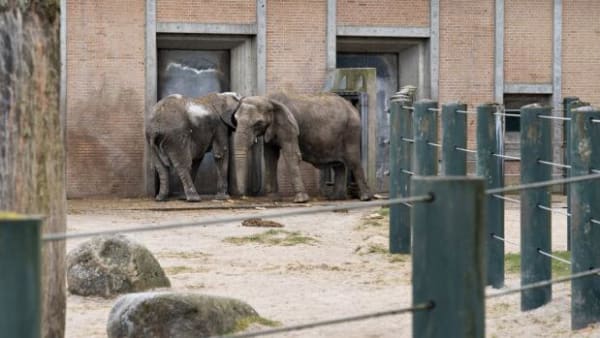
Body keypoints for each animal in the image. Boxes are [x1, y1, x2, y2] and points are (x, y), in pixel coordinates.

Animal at [233, 92, 370, 203]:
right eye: (236, 120)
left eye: (258, 123)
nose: (242, 195)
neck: (269, 99)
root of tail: (353, 107)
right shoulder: (272, 129)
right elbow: (270, 157)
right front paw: (272, 198)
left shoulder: (289, 127)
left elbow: (291, 155)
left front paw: (300, 200)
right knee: (338, 165)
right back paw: (335, 198)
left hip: (351, 131)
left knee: (353, 161)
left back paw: (365, 198)